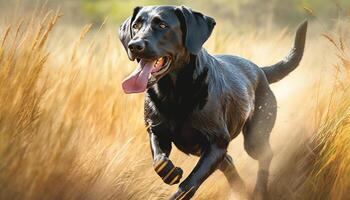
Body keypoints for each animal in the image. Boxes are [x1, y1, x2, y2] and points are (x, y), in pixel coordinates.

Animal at [119, 5, 308, 200]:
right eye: (136, 25)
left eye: (162, 25)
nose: (134, 45)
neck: (174, 93)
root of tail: (260, 70)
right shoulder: (156, 131)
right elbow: (159, 160)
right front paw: (171, 172)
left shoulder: (217, 142)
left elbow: (189, 183)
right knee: (228, 162)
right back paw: (241, 189)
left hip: (254, 138)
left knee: (265, 155)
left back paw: (259, 191)